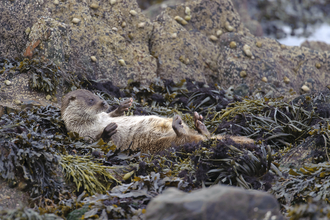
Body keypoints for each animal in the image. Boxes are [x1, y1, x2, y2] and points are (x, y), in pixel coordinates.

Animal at [61, 88, 253, 152]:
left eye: (96, 95)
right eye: (91, 100)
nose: (104, 102)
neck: (95, 122)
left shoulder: (104, 116)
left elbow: (113, 115)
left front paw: (123, 105)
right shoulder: (83, 135)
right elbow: (101, 142)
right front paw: (109, 130)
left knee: (204, 136)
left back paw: (199, 123)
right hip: (164, 144)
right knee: (184, 139)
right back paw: (179, 125)